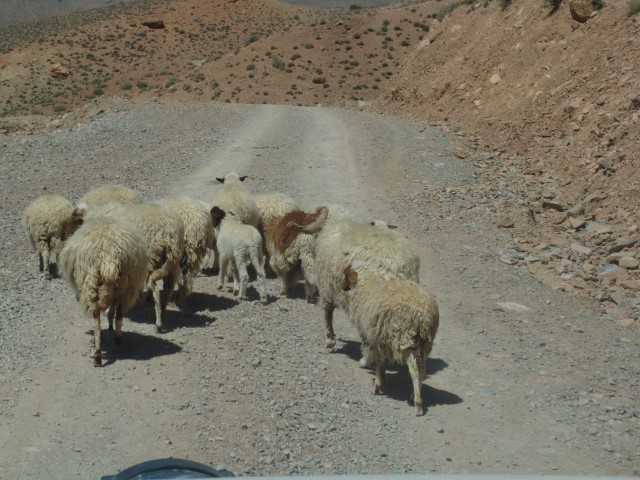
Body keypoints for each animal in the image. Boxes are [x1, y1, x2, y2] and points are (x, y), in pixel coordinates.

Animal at [58, 216, 149, 366]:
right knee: (119, 315)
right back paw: (116, 340)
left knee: (96, 321)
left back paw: (98, 353)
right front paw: (111, 330)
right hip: (126, 288)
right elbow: (112, 312)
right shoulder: (115, 294)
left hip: (91, 285)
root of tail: (109, 258)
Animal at [81, 201, 184, 332]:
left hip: (151, 260)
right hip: (172, 263)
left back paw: (158, 323)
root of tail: (168, 234)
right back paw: (163, 312)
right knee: (169, 287)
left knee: (155, 288)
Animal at [340, 260, 440, 414]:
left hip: (405, 339)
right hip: (425, 344)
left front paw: (377, 385)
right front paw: (381, 377)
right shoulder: (379, 339)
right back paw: (413, 395)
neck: (367, 285)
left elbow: (378, 361)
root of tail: (423, 315)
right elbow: (380, 362)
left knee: (414, 369)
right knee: (422, 369)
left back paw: (418, 404)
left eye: (345, 274)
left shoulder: (373, 338)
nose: (341, 286)